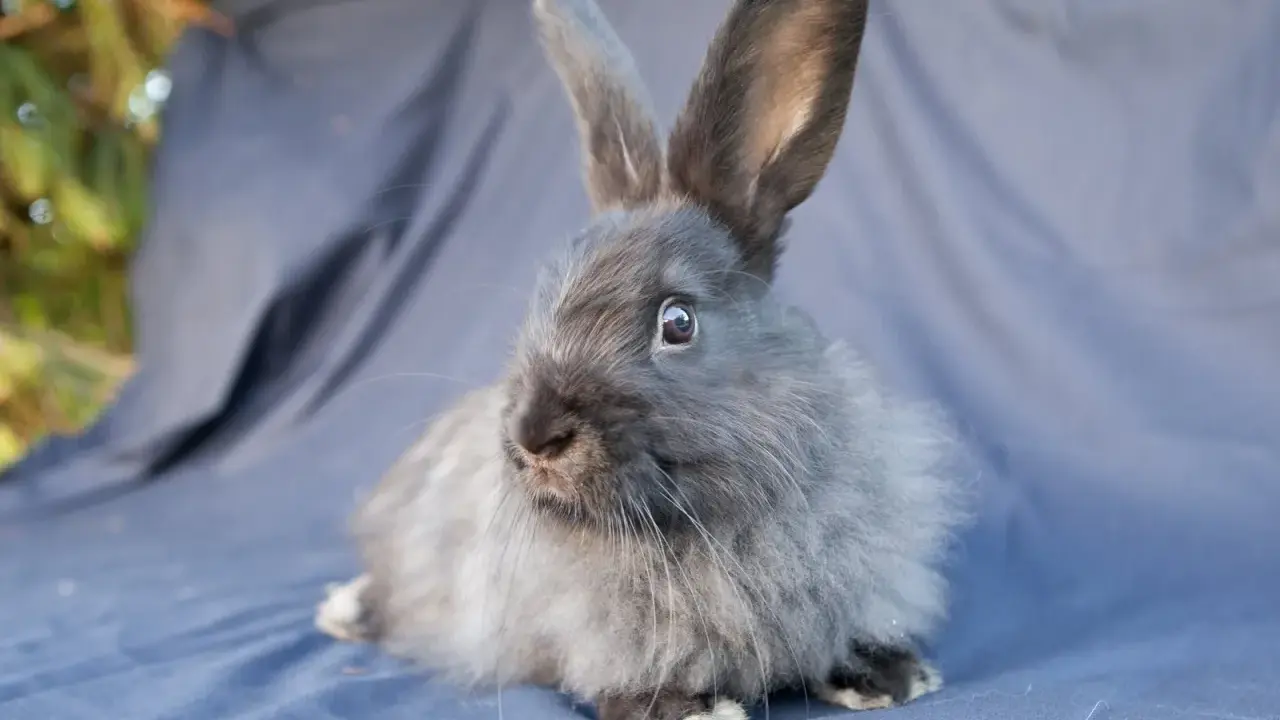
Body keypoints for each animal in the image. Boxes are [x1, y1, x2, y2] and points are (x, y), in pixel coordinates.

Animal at [314, 0, 969, 718]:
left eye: (677, 322)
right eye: (537, 305)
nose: (534, 435)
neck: (703, 525)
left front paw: (892, 676)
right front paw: (695, 708)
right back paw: (342, 610)